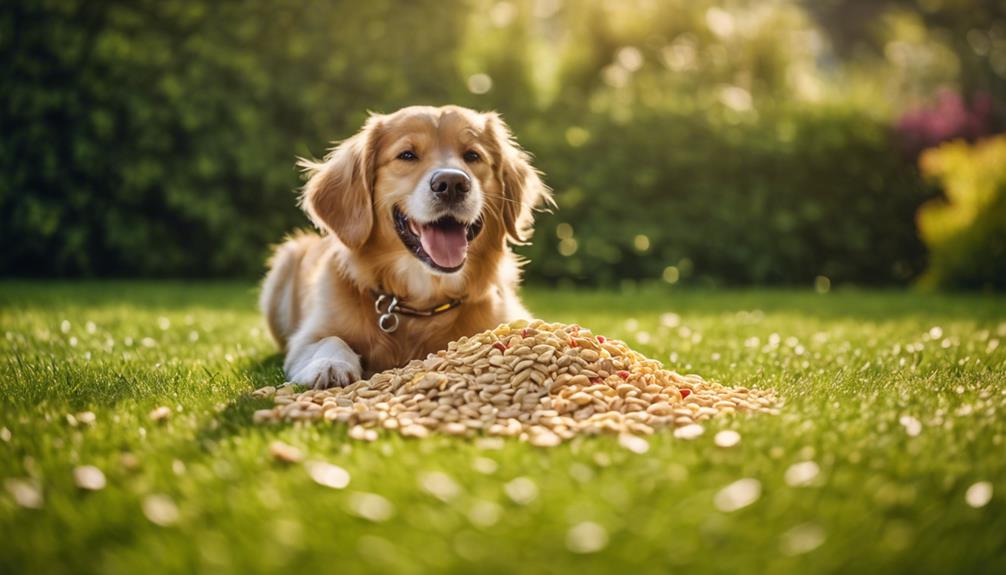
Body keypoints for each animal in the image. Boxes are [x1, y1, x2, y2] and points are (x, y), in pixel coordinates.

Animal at [259, 105, 551, 388]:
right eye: (407, 155)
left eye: (472, 155)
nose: (452, 184)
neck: (423, 302)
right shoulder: (306, 339)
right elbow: (331, 340)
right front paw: (331, 365)